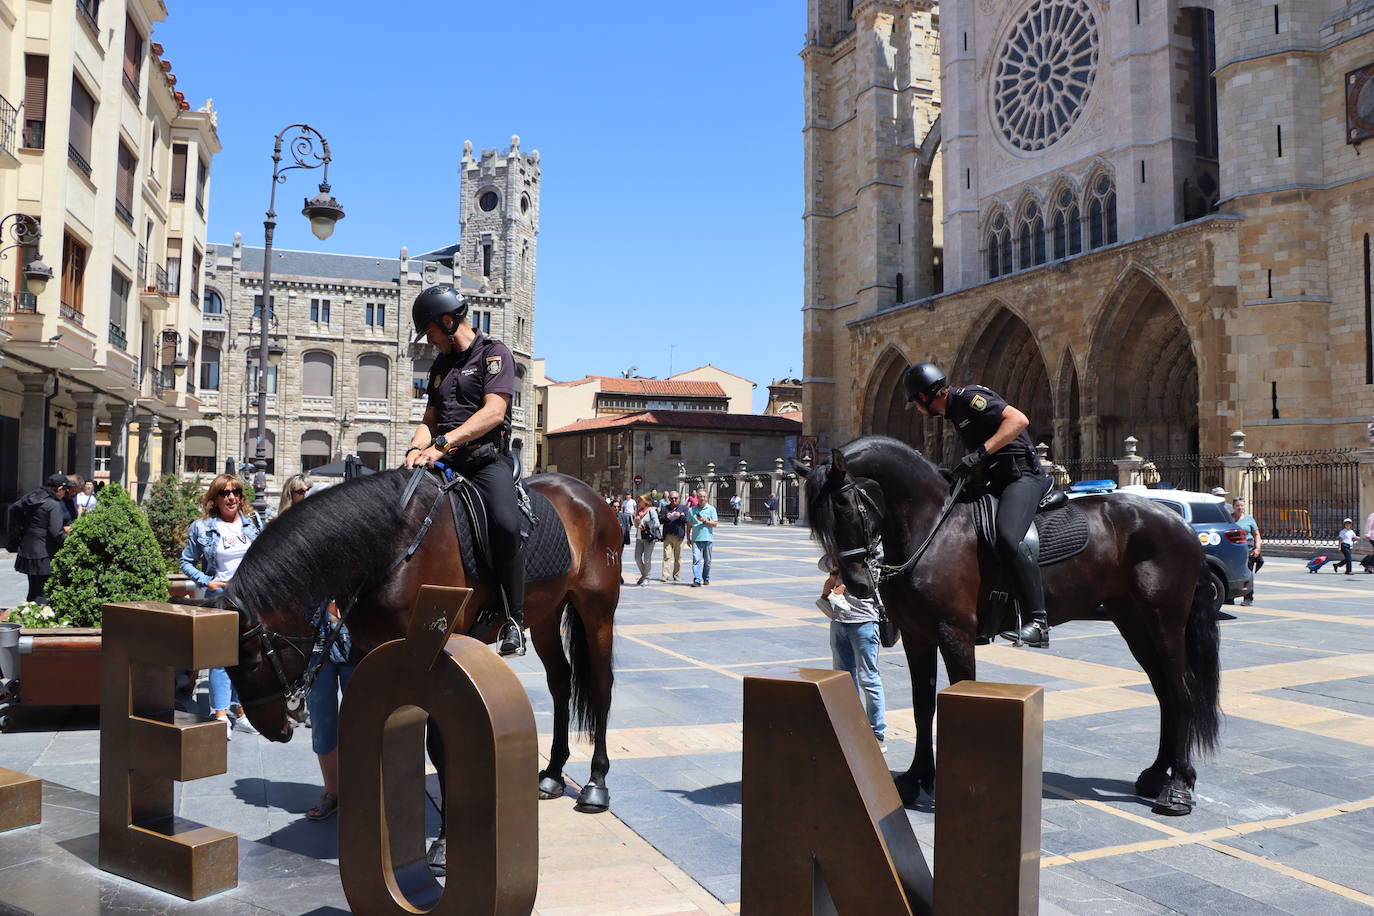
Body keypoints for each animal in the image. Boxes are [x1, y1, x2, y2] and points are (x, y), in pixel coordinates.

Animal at [802, 436, 1220, 818]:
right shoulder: (917, 636)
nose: (856, 583)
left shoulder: (955, 633)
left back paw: (1179, 788)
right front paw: (915, 778)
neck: (934, 527)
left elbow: (956, 694)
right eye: (818, 521)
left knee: (1181, 692)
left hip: (1165, 620)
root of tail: (1180, 523)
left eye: (844, 505)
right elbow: (923, 706)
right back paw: (1157, 774)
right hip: (1133, 621)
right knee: (1165, 693)